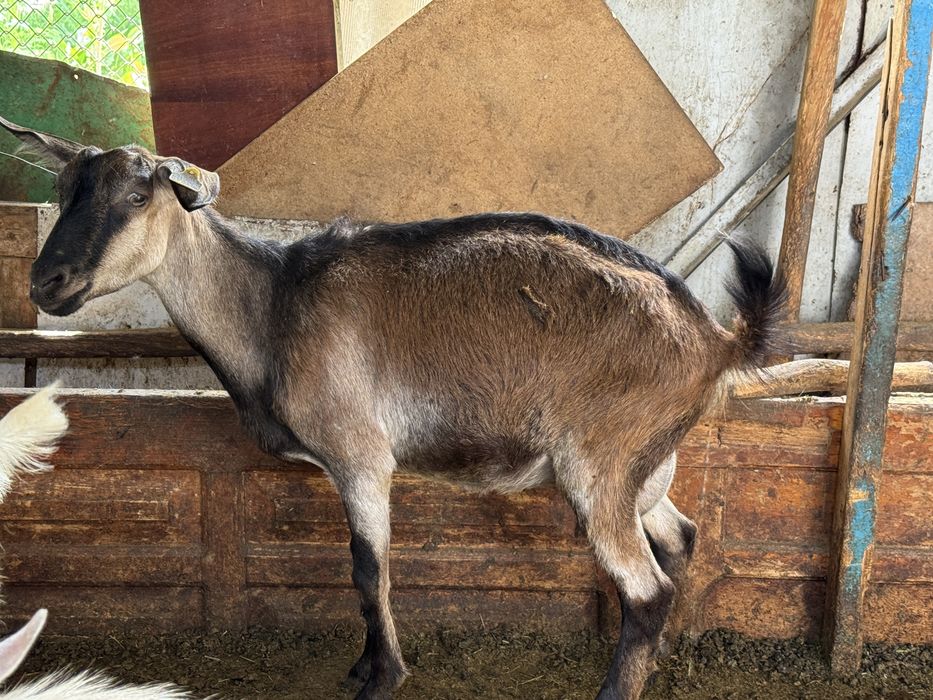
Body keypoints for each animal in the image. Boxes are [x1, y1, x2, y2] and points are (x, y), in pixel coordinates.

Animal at [0, 115, 786, 700]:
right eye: (64, 188)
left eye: (139, 197)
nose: (48, 282)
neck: (273, 304)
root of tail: (715, 339)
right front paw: (363, 666)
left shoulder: (361, 456)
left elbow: (366, 567)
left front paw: (381, 677)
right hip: (644, 467)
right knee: (680, 541)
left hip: (599, 460)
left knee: (645, 589)